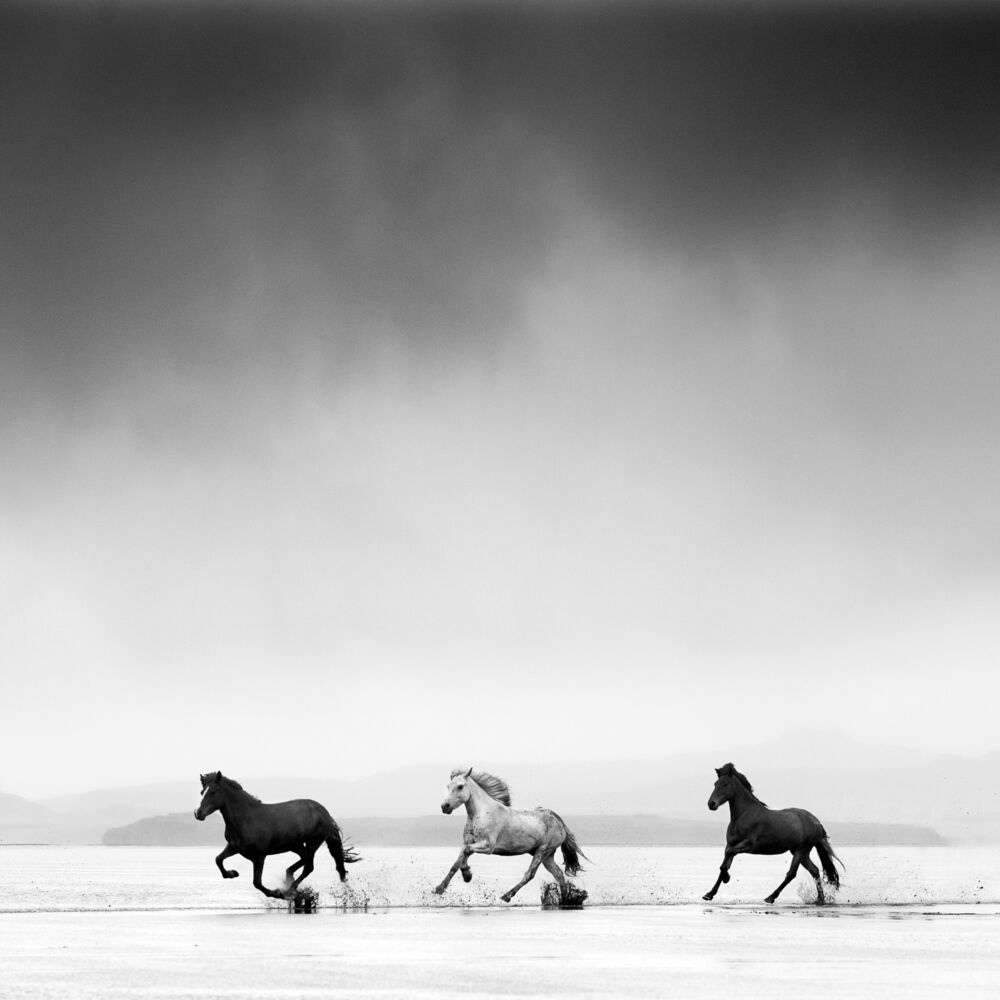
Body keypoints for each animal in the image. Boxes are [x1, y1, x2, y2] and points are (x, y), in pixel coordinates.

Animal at [194, 771, 360, 900]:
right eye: (202, 792)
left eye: (213, 791)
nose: (198, 813)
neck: (245, 818)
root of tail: (324, 812)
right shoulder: (234, 847)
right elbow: (218, 860)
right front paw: (232, 873)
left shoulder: (259, 856)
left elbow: (257, 883)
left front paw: (277, 893)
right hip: (295, 845)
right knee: (304, 859)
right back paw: (289, 877)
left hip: (313, 842)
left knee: (309, 866)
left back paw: (290, 889)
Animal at [433, 766, 588, 903]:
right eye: (448, 786)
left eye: (460, 786)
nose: (445, 807)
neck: (481, 813)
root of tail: (558, 820)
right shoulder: (468, 842)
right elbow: (457, 862)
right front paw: (440, 888)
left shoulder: (488, 846)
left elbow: (466, 852)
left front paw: (467, 874)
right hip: (547, 856)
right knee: (559, 874)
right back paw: (565, 900)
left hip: (543, 850)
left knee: (530, 874)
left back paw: (506, 896)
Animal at [702, 763, 843, 905]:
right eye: (715, 784)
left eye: (725, 784)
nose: (711, 804)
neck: (744, 815)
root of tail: (817, 822)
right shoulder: (730, 845)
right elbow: (724, 863)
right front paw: (709, 894)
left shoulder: (749, 845)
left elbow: (727, 860)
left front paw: (727, 878)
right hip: (800, 852)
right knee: (814, 870)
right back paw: (820, 899)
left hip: (801, 850)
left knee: (792, 873)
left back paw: (771, 897)